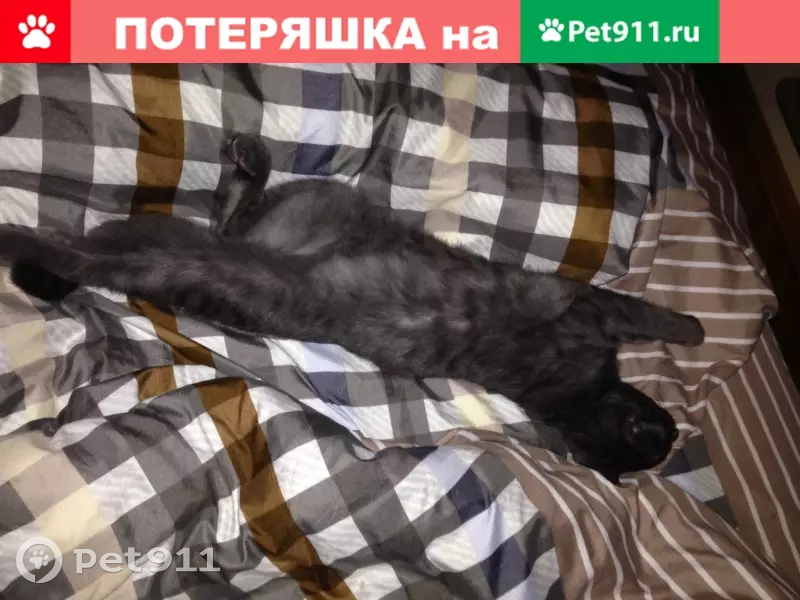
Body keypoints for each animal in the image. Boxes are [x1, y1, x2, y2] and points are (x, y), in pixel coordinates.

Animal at [0, 133, 704, 484]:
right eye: (661, 429)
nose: (675, 433)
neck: (578, 401)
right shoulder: (591, 308)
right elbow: (647, 312)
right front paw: (694, 327)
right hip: (297, 213)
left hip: (223, 251)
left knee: (224, 219)